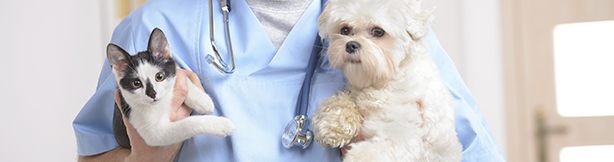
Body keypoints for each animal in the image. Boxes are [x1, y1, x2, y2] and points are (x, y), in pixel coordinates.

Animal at [107, 28, 235, 148]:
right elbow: (188, 124)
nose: (152, 94)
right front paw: (221, 125)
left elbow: (181, 76)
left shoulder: (175, 66)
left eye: (159, 76)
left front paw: (202, 100)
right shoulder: (153, 132)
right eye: (136, 83)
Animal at [316, 0, 464, 160]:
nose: (350, 45)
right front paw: (332, 125)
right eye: (344, 30)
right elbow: (338, 102)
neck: (383, 82)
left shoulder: (401, 132)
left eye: (378, 31)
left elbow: (368, 154)